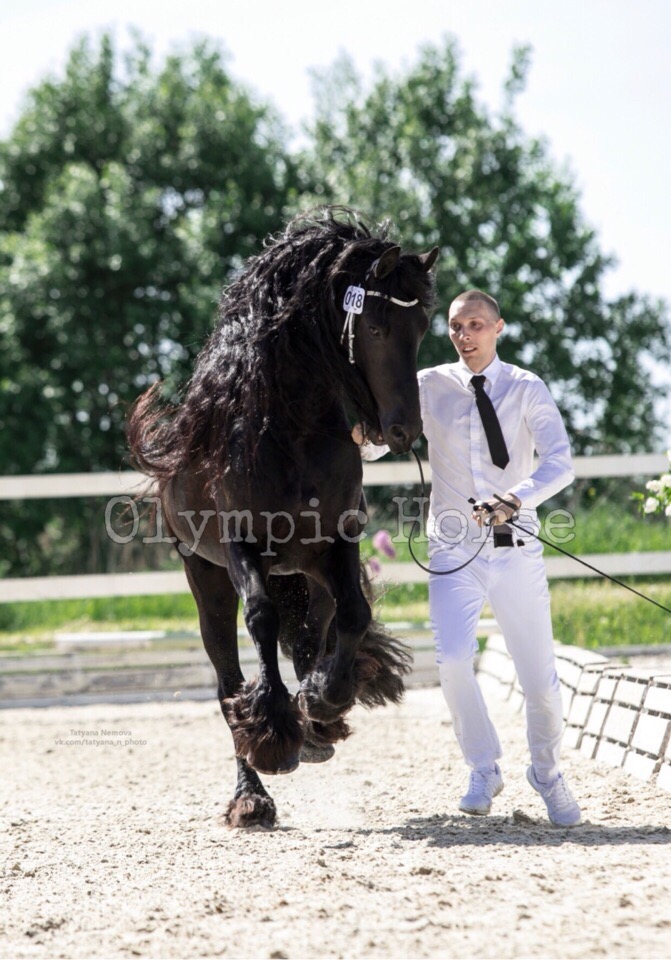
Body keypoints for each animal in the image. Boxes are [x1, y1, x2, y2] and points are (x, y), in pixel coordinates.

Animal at [127, 207, 438, 828]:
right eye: (374, 329)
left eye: (420, 328)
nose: (404, 430)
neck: (291, 428)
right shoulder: (241, 547)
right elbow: (262, 621)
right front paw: (272, 735)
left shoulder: (336, 541)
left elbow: (355, 614)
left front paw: (321, 701)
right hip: (207, 580)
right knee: (227, 678)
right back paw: (251, 794)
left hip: (306, 574)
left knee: (316, 630)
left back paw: (315, 721)